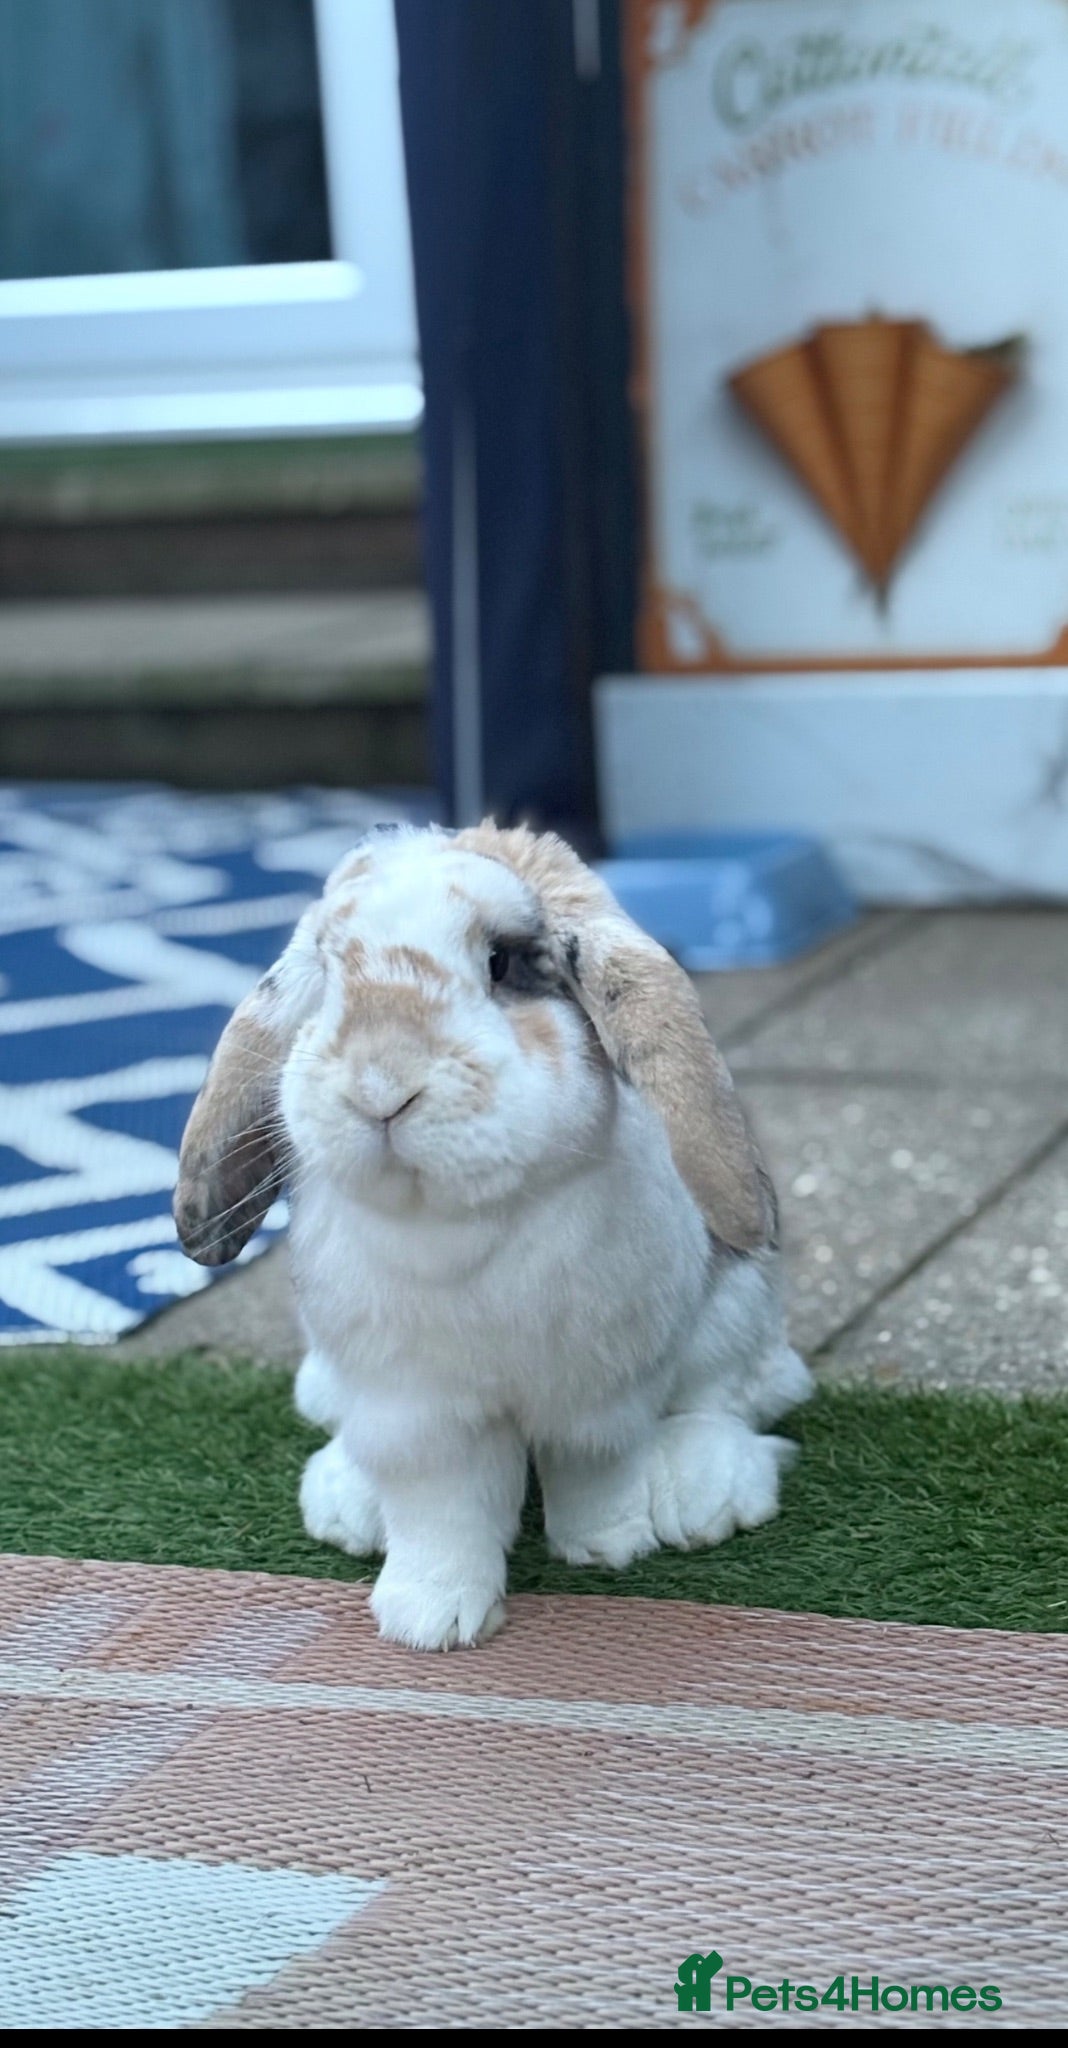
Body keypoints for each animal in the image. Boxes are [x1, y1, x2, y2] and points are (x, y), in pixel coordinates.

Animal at [174, 820, 811, 1651]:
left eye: (501, 962)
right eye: (328, 974)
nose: (381, 1088)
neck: (455, 1221)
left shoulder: (597, 1391)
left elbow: (593, 1468)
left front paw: (608, 1545)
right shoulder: (414, 1411)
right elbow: (441, 1511)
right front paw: (427, 1620)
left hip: (733, 1318)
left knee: (734, 1397)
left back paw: (701, 1493)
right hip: (330, 1378)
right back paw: (350, 1505)